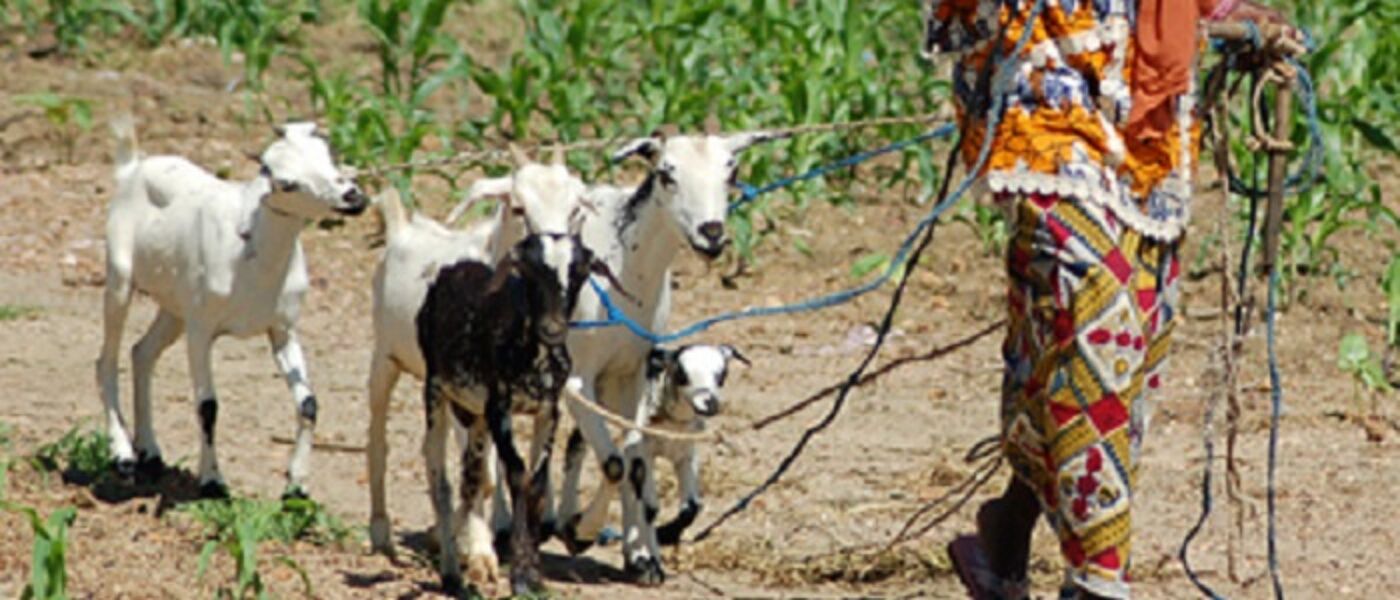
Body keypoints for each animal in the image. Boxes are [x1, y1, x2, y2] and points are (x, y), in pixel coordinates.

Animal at [96, 119, 367, 499]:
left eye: (329, 152)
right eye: (287, 183)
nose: (353, 197)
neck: (252, 255)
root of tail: (132, 168)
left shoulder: (283, 328)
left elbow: (309, 403)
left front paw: (296, 486)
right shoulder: (201, 331)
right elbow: (208, 406)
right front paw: (212, 482)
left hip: (174, 309)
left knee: (142, 353)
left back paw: (150, 453)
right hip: (120, 281)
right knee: (106, 361)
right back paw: (122, 457)